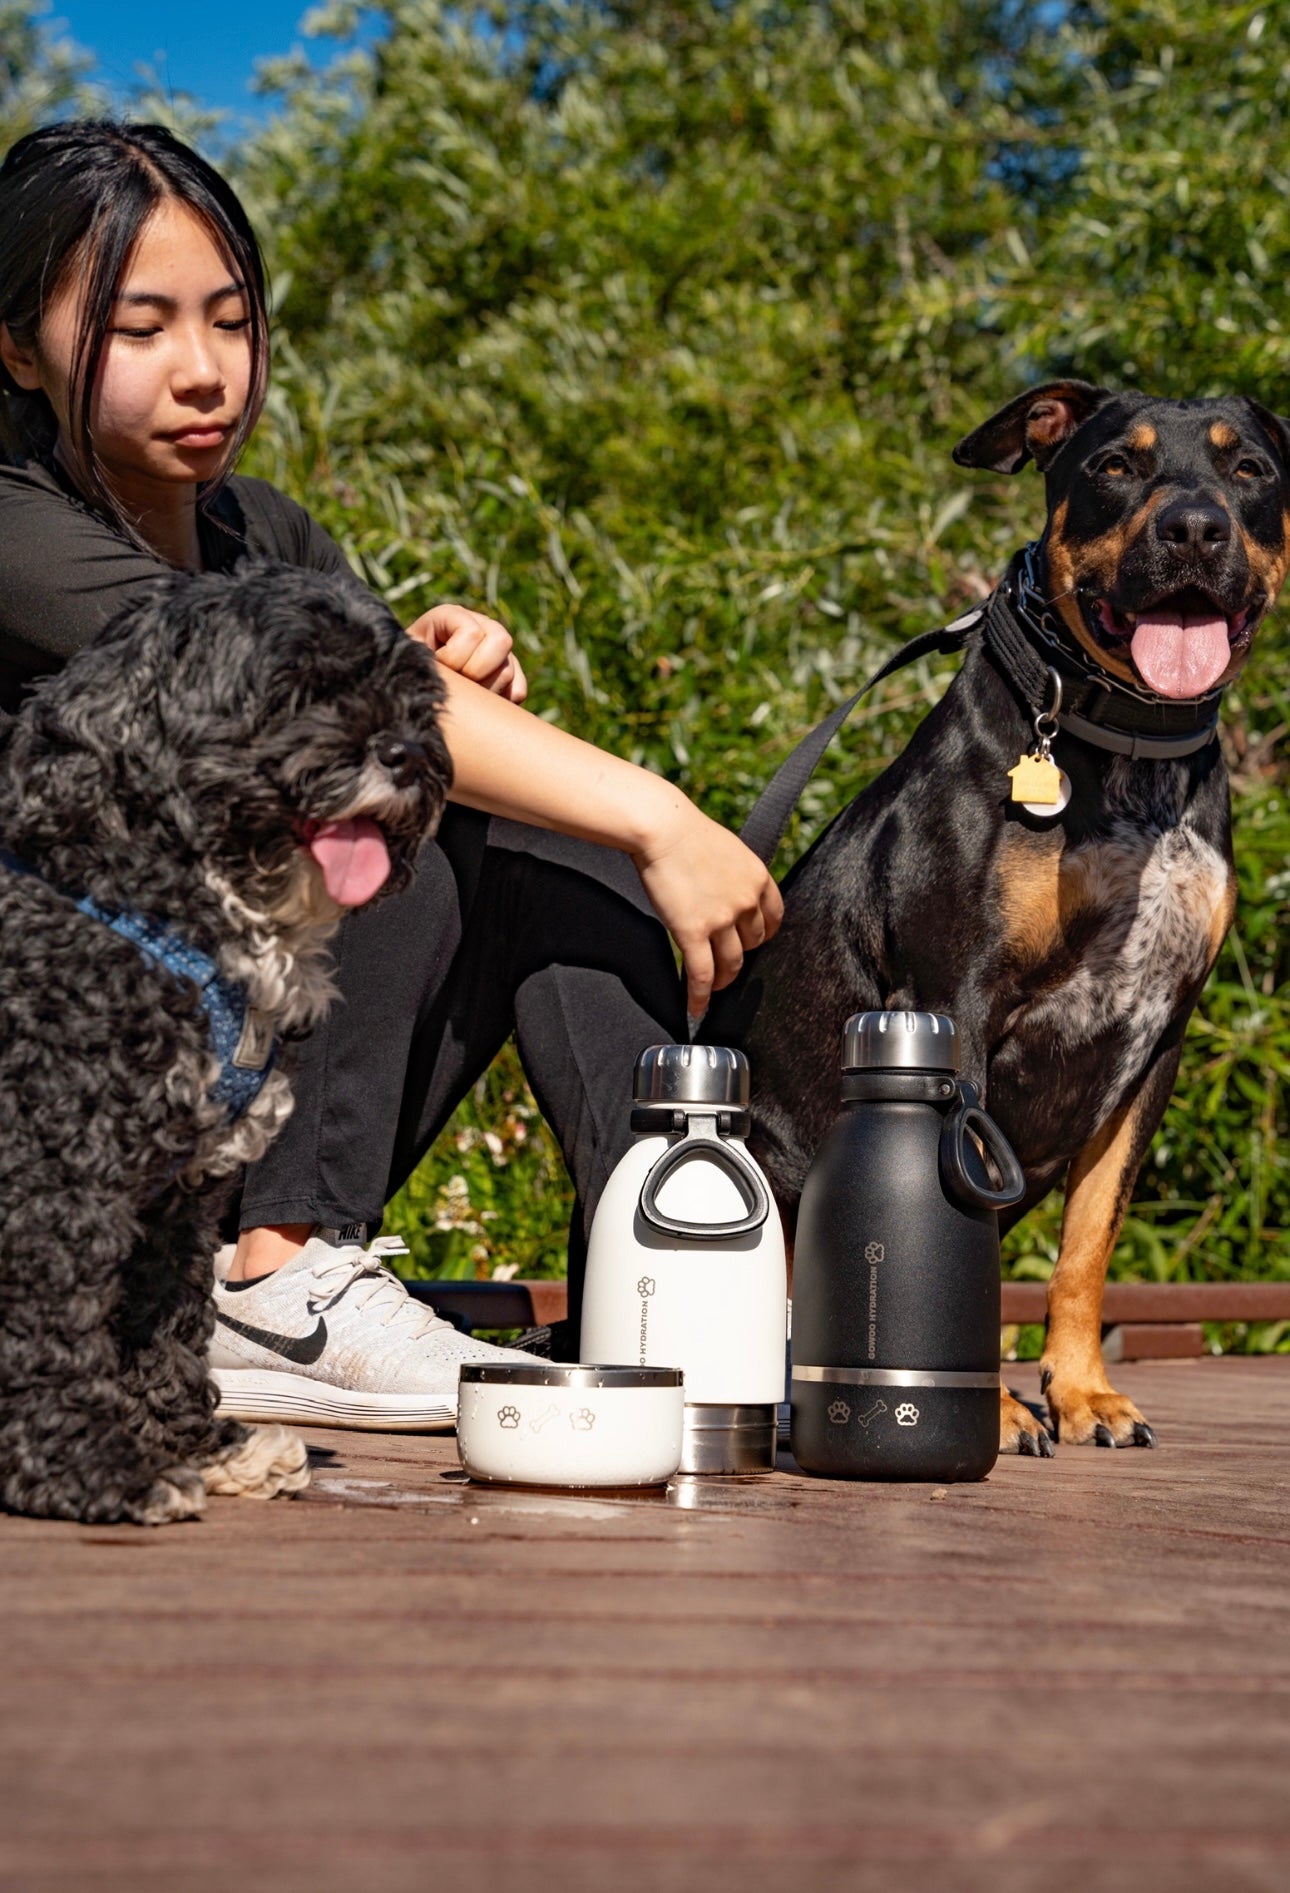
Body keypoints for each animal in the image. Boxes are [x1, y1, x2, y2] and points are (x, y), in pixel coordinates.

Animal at [0, 560, 450, 1521]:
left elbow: (167, 1325)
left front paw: (194, 1445)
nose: (403, 752)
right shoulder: (54, 1179)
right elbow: (53, 1327)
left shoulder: (170, 1204)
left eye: (410, 694)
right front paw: (92, 1466)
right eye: (297, 685)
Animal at [716, 380, 1288, 1446]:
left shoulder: (1157, 1041)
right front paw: (1002, 1409)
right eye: (1116, 464)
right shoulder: (959, 1002)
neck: (1127, 748)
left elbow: (1088, 1244)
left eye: (1249, 469)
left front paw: (1080, 1391)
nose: (1195, 527)